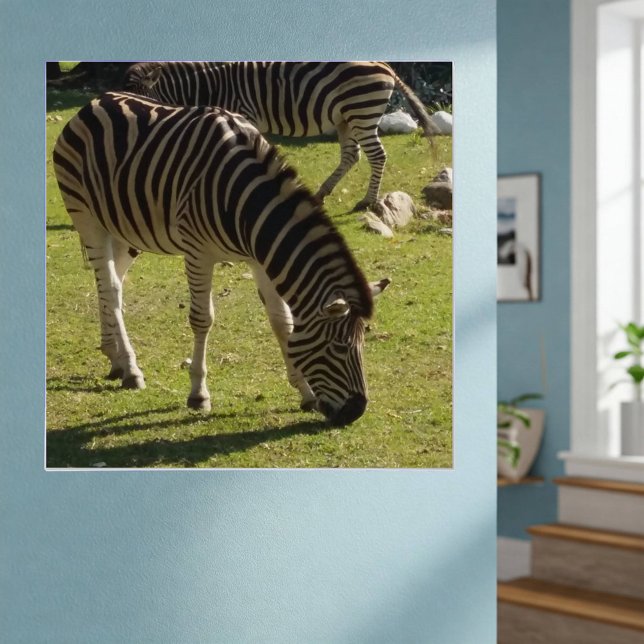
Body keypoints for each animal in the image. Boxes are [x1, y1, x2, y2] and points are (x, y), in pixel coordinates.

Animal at [52, 91, 390, 426]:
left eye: (363, 343)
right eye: (339, 348)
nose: (355, 412)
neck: (249, 206)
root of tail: (96, 101)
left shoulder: (261, 261)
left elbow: (281, 322)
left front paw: (305, 393)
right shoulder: (198, 253)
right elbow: (202, 320)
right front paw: (198, 394)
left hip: (125, 231)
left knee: (111, 285)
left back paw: (115, 357)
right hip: (87, 217)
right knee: (109, 288)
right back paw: (131, 370)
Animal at [123, 61, 438, 211]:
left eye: (137, 101)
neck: (208, 86)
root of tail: (385, 65)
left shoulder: (243, 115)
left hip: (361, 111)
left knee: (377, 155)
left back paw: (367, 201)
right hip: (345, 117)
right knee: (352, 155)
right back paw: (321, 193)